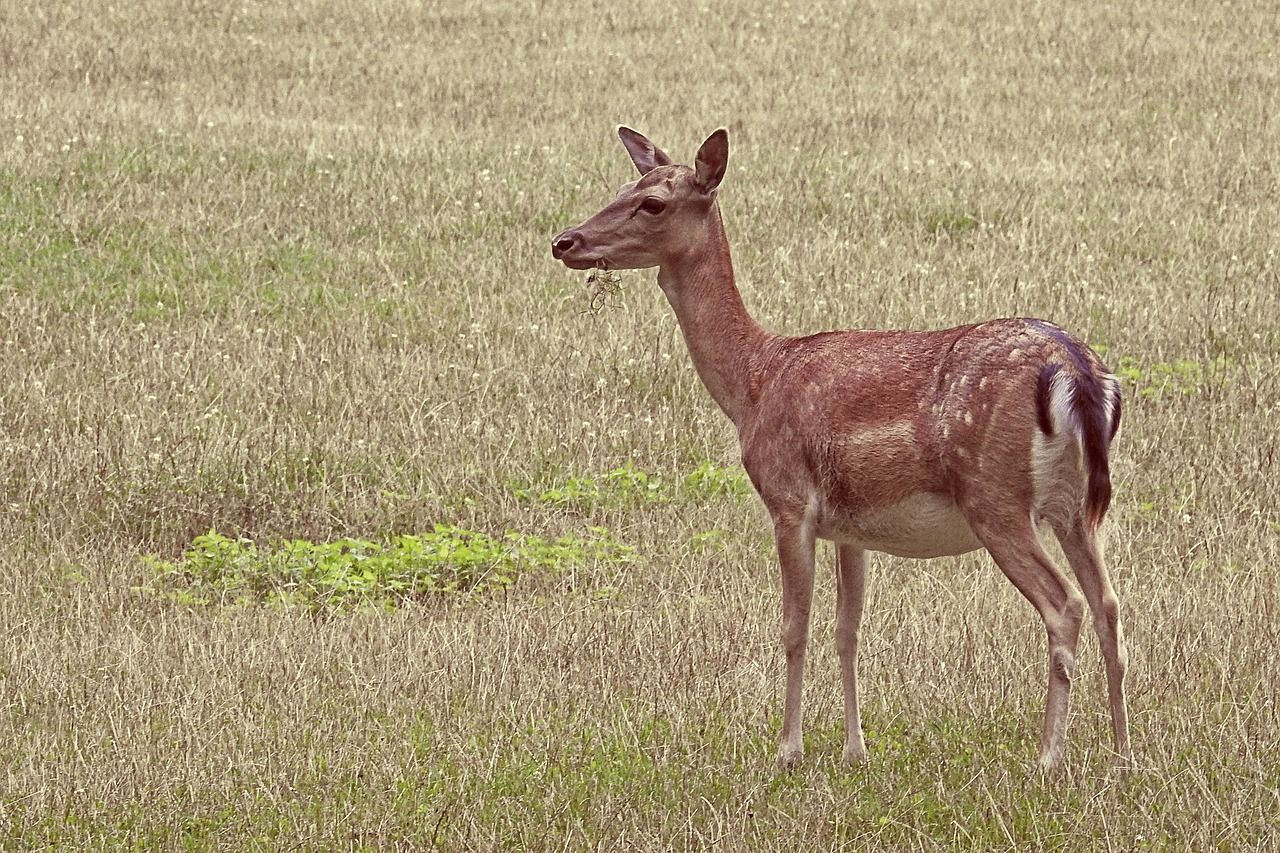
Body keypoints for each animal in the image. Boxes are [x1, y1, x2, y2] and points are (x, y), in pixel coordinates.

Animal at [550, 126, 1131, 768]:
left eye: (652, 203)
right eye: (622, 187)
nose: (564, 241)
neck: (754, 383)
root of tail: (1075, 371)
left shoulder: (788, 499)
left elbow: (794, 627)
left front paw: (788, 750)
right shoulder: (852, 526)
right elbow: (847, 630)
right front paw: (857, 750)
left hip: (996, 497)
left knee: (1066, 605)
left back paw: (1048, 758)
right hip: (1077, 506)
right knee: (1108, 604)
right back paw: (1123, 754)